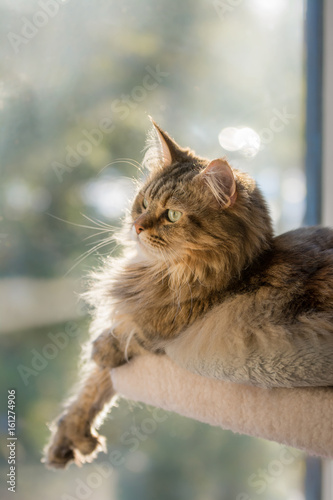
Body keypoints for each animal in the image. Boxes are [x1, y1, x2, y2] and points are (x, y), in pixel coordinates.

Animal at [43, 120, 332, 468]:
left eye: (172, 216)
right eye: (143, 204)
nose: (137, 226)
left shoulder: (165, 332)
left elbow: (121, 347)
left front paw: (100, 349)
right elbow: (92, 386)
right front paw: (67, 438)